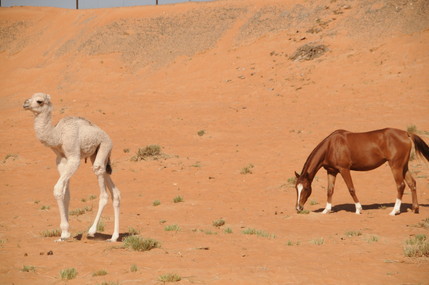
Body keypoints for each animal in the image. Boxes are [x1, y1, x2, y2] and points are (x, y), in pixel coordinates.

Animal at [23, 92, 120, 241]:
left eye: (39, 101)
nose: (25, 104)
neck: (58, 135)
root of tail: (108, 137)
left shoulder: (74, 157)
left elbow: (58, 189)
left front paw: (64, 234)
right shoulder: (61, 160)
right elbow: (66, 193)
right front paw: (65, 233)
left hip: (105, 146)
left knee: (103, 189)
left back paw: (92, 231)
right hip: (96, 155)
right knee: (114, 190)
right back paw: (114, 237)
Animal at [294, 127, 428, 214]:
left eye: (306, 188)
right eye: (296, 188)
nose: (298, 208)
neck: (331, 146)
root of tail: (406, 133)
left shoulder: (344, 169)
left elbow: (351, 189)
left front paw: (358, 209)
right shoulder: (331, 171)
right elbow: (329, 191)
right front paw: (326, 210)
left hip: (396, 166)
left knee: (400, 185)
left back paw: (395, 211)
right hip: (403, 166)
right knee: (412, 183)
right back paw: (415, 208)